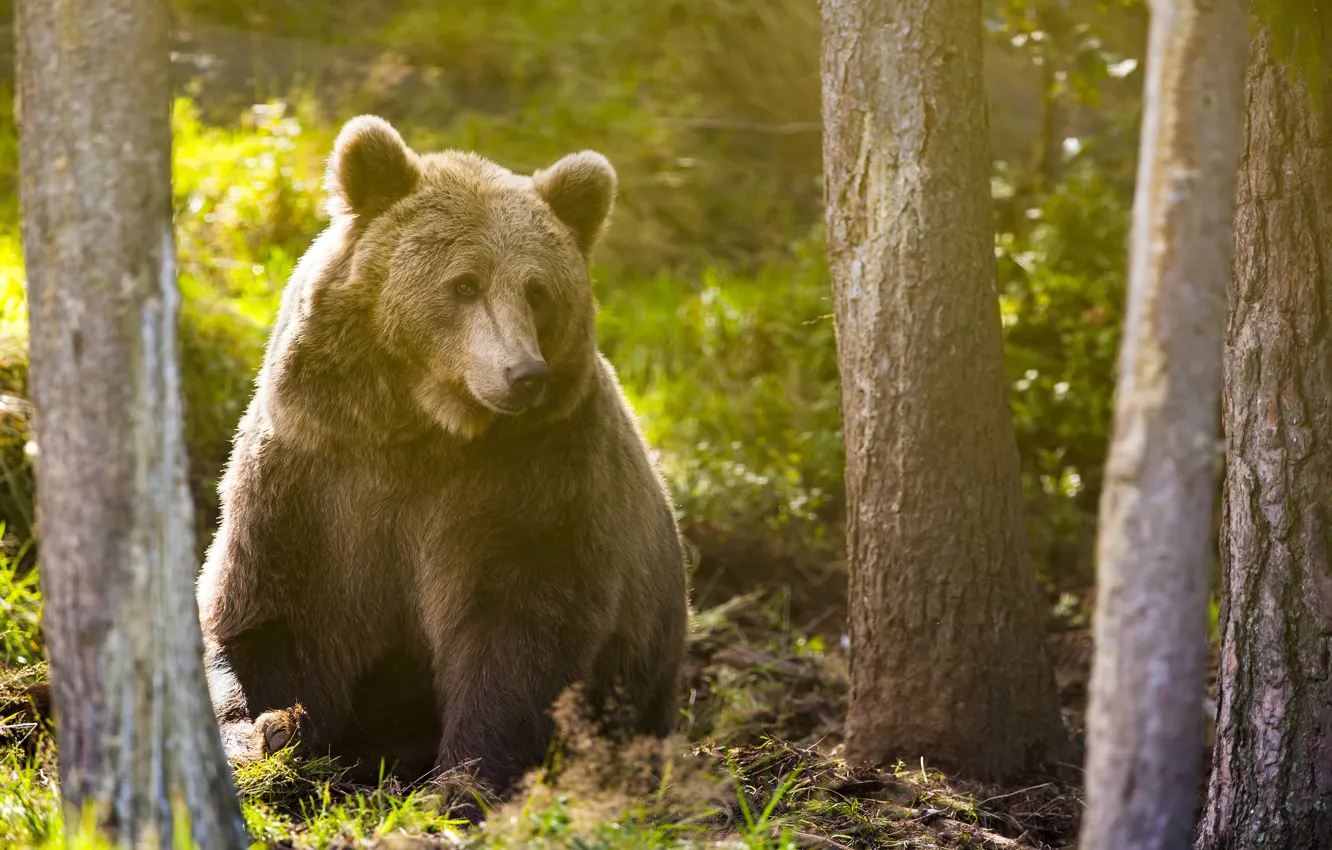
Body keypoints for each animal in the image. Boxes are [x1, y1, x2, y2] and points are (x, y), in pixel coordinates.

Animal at [195, 114, 690, 793]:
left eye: (538, 290)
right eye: (464, 283)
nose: (523, 373)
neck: (426, 429)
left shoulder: (537, 485)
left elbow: (518, 638)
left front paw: (463, 779)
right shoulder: (312, 471)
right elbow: (266, 614)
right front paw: (264, 731)